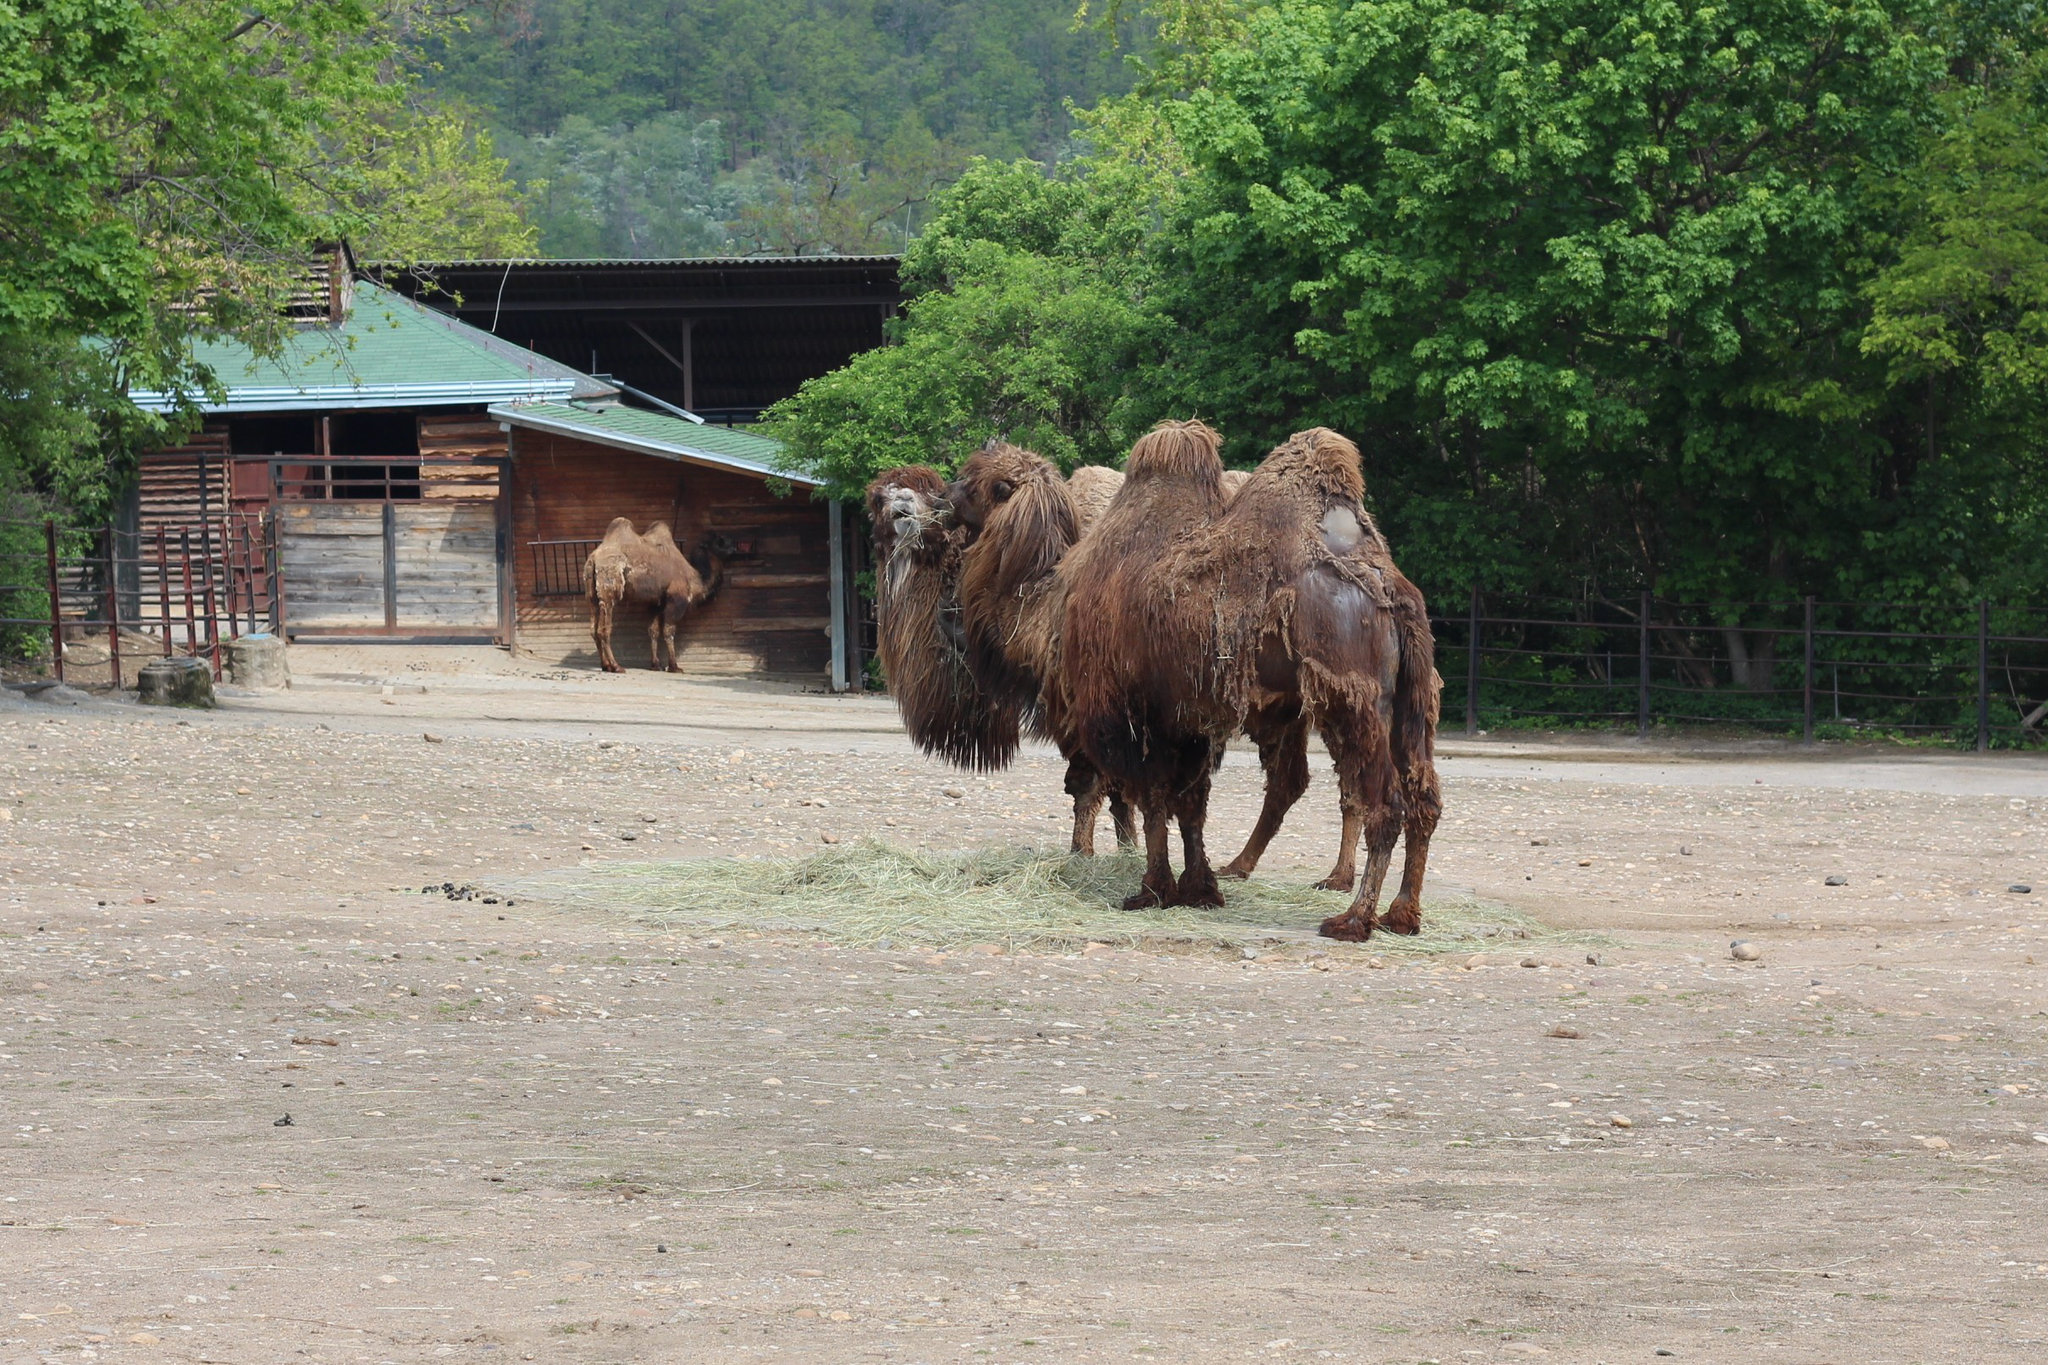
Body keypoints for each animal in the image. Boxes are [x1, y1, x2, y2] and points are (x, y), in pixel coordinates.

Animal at [581, 517, 733, 671]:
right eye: (720, 541)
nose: (735, 548)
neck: (695, 578)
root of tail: (593, 559)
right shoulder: (677, 599)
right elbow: (668, 631)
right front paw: (674, 666)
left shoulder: (656, 602)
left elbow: (653, 631)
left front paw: (656, 664)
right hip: (610, 588)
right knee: (604, 629)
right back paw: (616, 666)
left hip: (591, 593)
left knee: (593, 628)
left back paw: (605, 665)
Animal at [1056, 423, 1441, 941]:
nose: (1070, 779)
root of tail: (1392, 589)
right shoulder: (1190, 720)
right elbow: (1189, 803)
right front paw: (1199, 889)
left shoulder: (1141, 716)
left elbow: (1157, 799)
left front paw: (1152, 890)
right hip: (1409, 705)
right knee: (1423, 798)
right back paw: (1401, 914)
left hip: (1355, 704)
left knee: (1384, 804)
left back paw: (1353, 919)